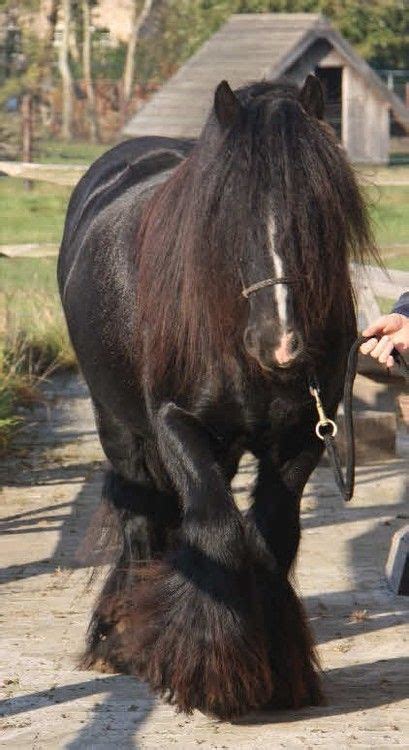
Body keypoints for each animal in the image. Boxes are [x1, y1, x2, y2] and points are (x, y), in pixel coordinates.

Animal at [58, 76, 376, 724]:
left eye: (320, 212)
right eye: (226, 213)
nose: (281, 345)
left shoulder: (301, 441)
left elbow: (268, 535)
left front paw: (278, 669)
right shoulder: (175, 425)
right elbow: (220, 535)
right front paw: (212, 673)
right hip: (122, 431)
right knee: (141, 519)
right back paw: (121, 637)